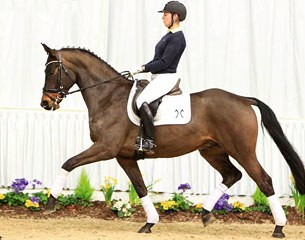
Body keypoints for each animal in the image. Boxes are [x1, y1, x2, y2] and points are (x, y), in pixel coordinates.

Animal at [41, 43, 304, 238]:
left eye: (52, 72)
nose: (45, 103)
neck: (109, 97)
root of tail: (243, 99)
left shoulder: (105, 148)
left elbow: (68, 163)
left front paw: (51, 202)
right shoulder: (124, 156)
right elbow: (140, 187)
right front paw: (150, 223)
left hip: (242, 150)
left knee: (264, 180)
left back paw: (279, 228)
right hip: (212, 150)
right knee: (232, 175)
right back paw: (206, 213)